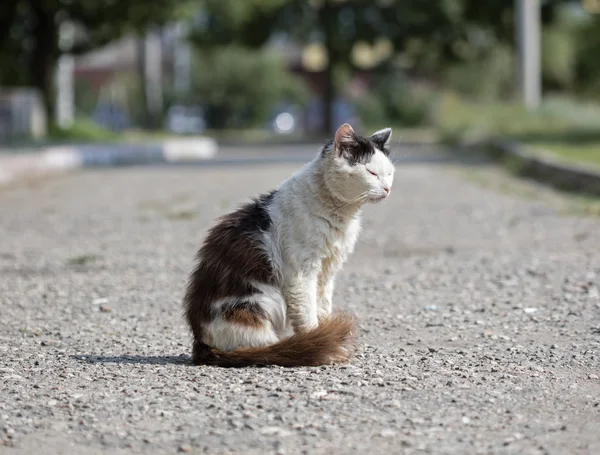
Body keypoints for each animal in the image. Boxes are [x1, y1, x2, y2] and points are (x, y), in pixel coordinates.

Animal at [183, 124, 394, 366]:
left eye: (390, 173)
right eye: (372, 173)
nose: (387, 189)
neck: (340, 213)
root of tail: (200, 342)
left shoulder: (327, 270)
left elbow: (322, 307)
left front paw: (327, 334)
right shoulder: (301, 274)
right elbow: (307, 314)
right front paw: (319, 343)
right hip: (259, 304)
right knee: (262, 348)